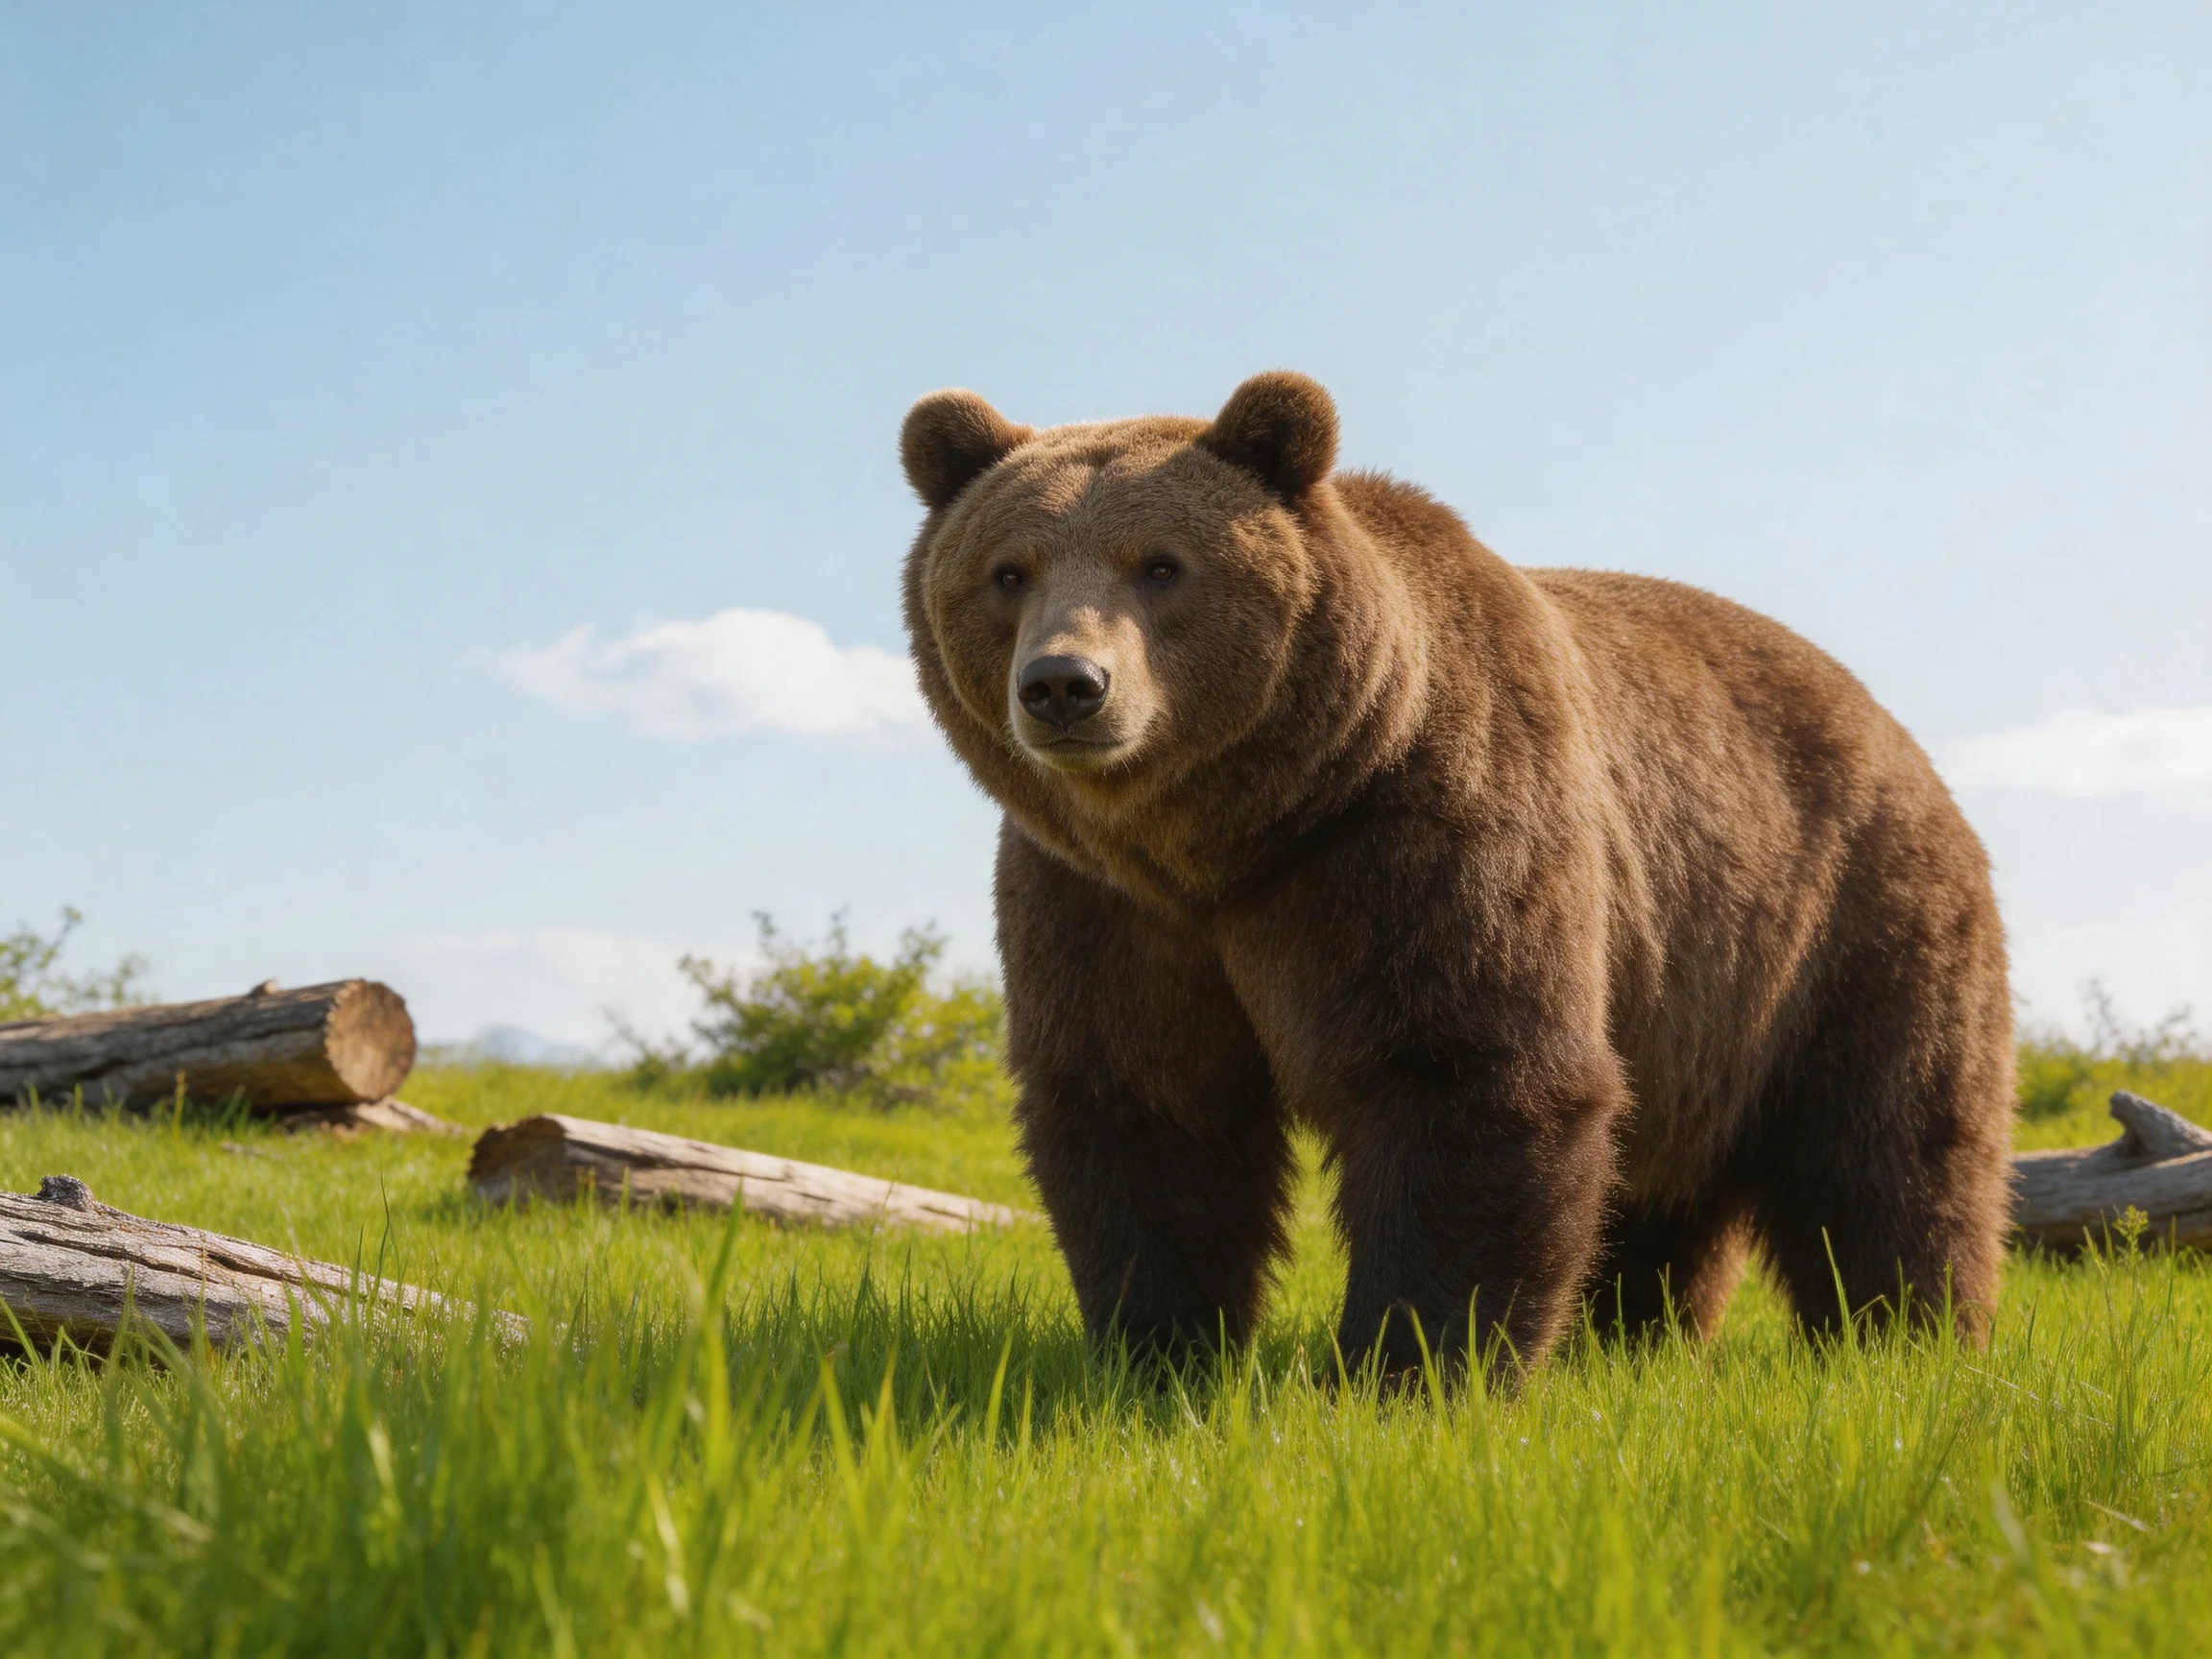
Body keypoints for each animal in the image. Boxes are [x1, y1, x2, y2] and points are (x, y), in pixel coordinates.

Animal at [899, 370, 2014, 1374]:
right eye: (1009, 570)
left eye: (1161, 565)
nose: (1064, 686)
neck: (1229, 837)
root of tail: (1894, 730)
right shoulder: (1100, 902)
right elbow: (1145, 1106)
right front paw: (1160, 1351)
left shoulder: (1414, 833)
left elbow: (1464, 1073)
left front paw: (1407, 1367)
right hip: (1701, 1004)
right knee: (1663, 1186)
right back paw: (1633, 1338)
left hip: (1846, 920)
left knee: (1891, 1145)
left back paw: (1904, 1337)